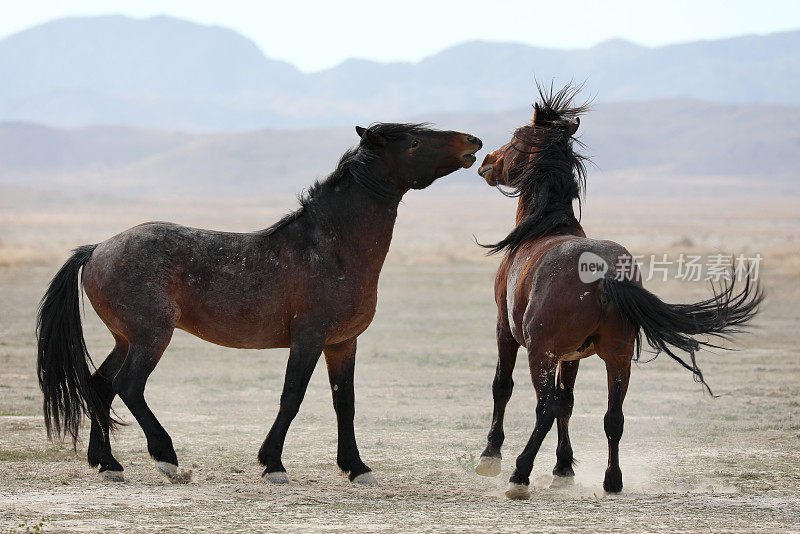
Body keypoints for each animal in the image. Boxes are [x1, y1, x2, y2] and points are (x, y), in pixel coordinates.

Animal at [36, 123, 482, 488]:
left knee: (101, 386)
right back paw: (167, 460)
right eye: (414, 141)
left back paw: (108, 464)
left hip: (126, 339)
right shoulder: (309, 338)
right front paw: (273, 464)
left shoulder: (342, 344)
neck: (333, 247)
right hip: (151, 336)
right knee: (128, 385)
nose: (472, 142)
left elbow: (345, 403)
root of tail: (97, 249)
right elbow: (292, 397)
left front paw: (356, 467)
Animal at [472, 86, 764, 500]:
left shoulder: (506, 331)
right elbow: (569, 403)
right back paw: (613, 479)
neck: (543, 227)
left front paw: (490, 457)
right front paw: (564, 469)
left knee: (544, 408)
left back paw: (520, 475)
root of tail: (605, 272)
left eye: (516, 138)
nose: (487, 162)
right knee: (613, 417)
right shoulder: (573, 354)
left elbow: (504, 387)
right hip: (618, 356)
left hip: (542, 352)